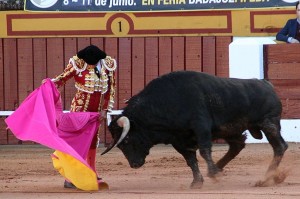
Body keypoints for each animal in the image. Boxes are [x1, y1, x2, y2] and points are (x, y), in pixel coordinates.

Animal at [102, 71, 288, 188]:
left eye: (126, 140)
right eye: (119, 145)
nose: (134, 164)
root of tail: (266, 84)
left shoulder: (201, 126)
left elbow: (204, 151)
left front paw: (212, 174)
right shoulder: (178, 140)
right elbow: (190, 159)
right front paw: (197, 182)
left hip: (268, 123)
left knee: (280, 146)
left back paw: (266, 178)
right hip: (230, 129)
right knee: (238, 145)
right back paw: (220, 167)